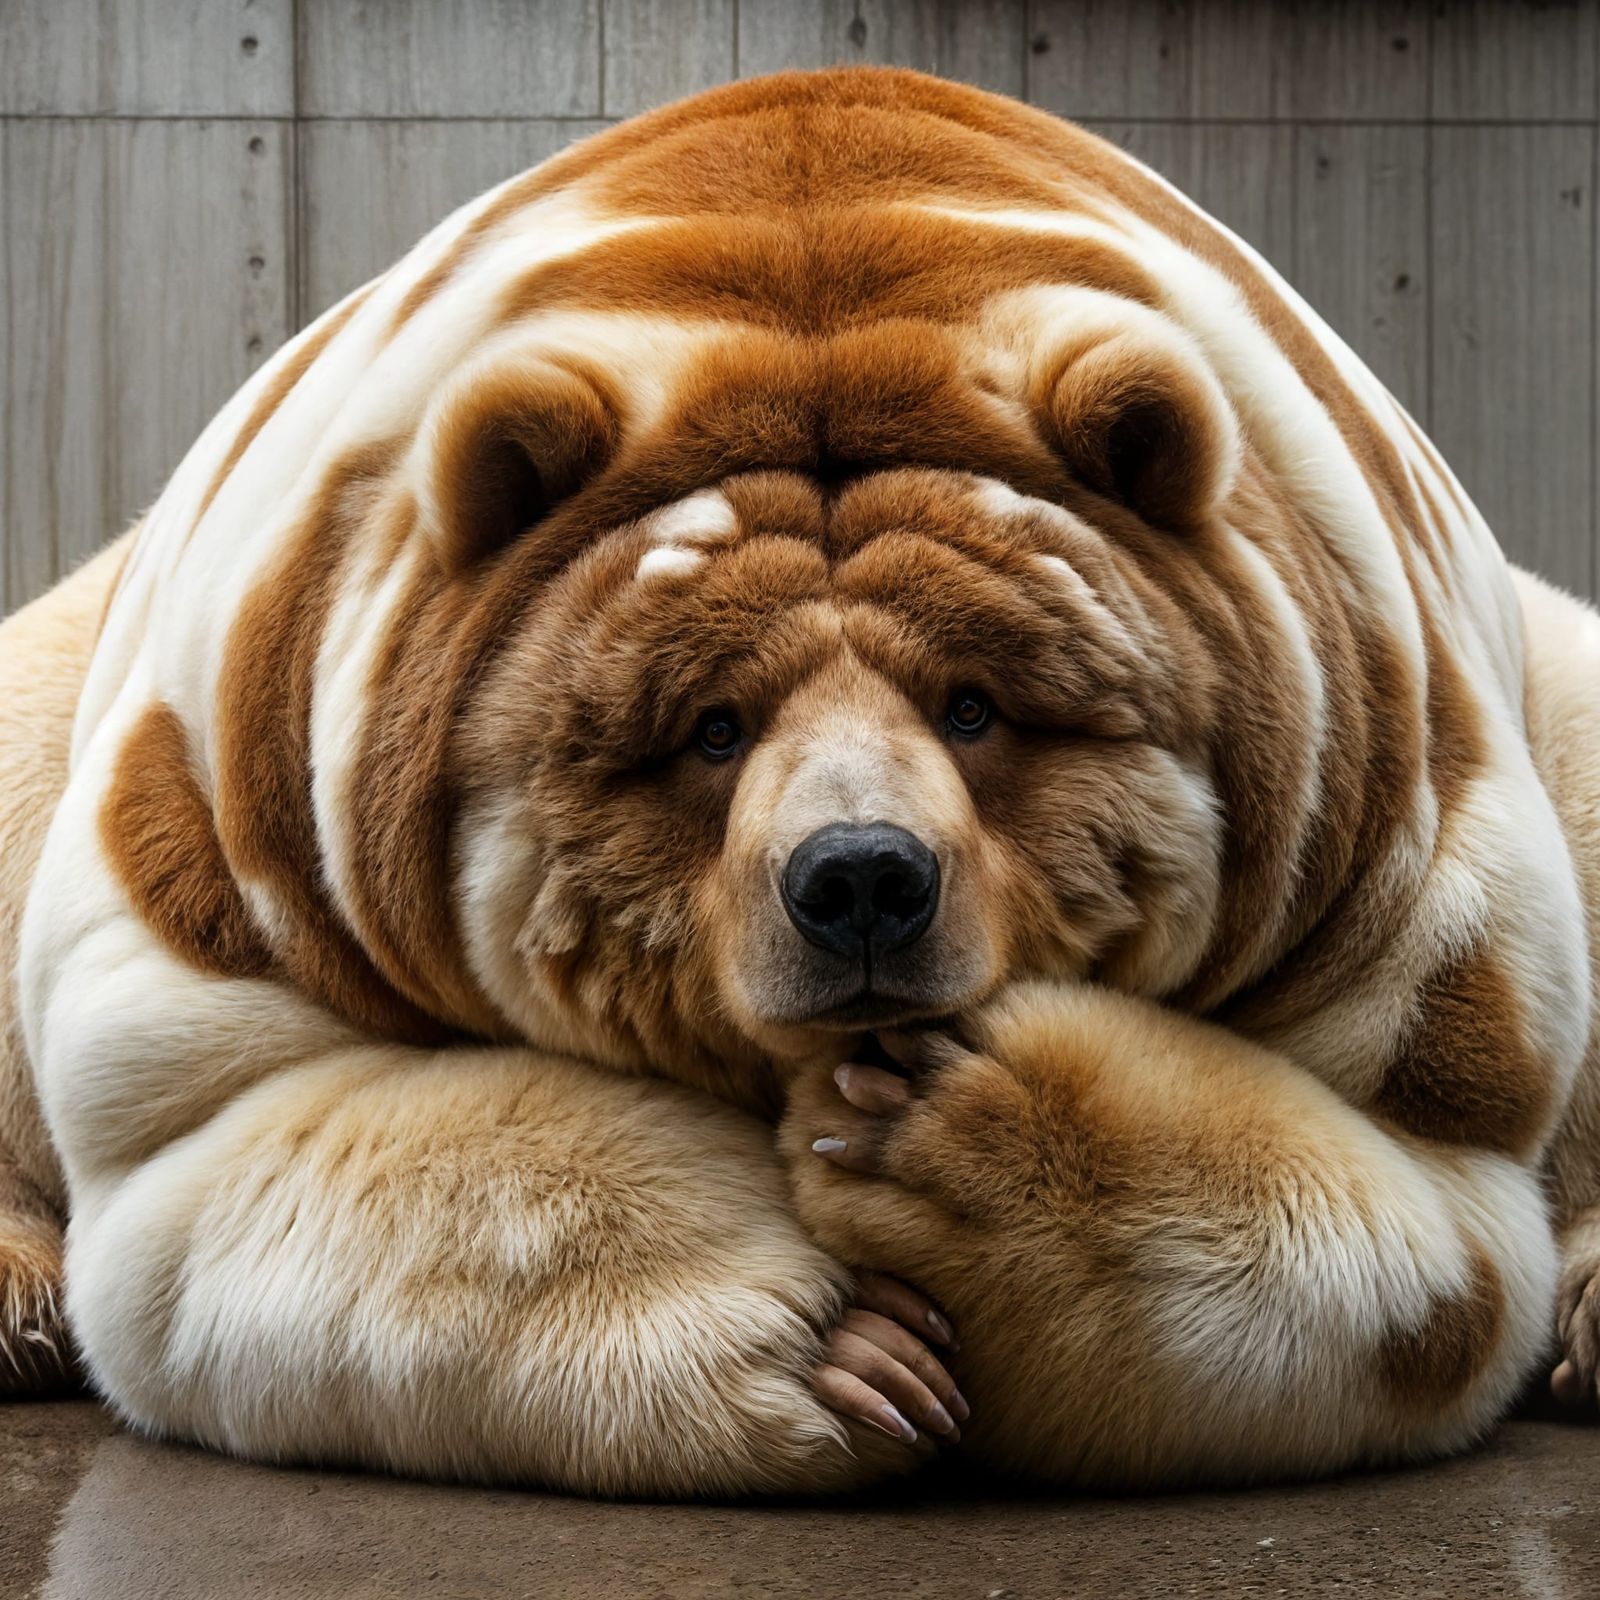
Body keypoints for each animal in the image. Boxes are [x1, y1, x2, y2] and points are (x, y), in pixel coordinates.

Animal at [6, 65, 1600, 1494]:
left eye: (976, 705)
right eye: (711, 728)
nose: (862, 881)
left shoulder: (1376, 812)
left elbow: (1427, 1208)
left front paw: (943, 1126)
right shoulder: (257, 810)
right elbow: (224, 1150)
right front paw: (844, 1347)